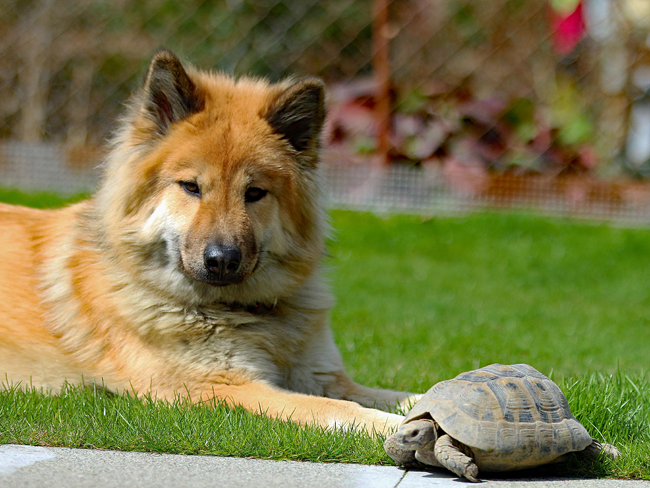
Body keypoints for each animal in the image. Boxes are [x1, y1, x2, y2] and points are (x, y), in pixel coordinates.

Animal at [0, 50, 416, 434]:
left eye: (254, 193)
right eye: (191, 187)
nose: (222, 260)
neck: (244, 313)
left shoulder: (324, 376)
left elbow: (403, 395)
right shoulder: (219, 386)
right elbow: (333, 409)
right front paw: (400, 428)